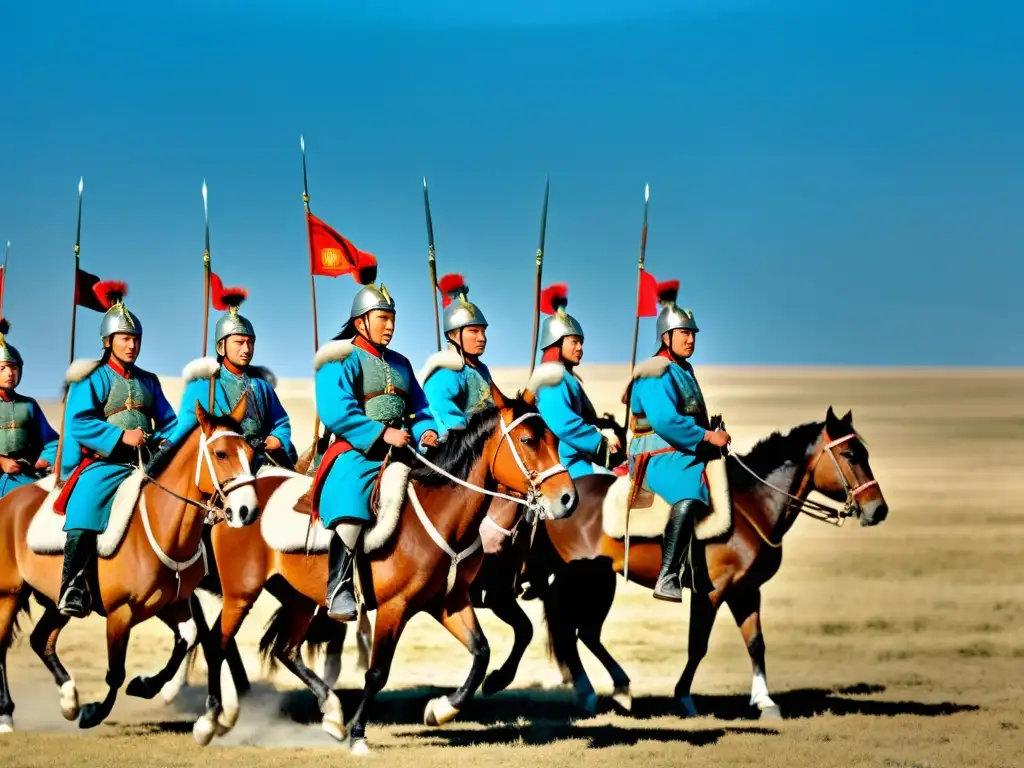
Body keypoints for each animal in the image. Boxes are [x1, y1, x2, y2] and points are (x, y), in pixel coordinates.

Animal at [0, 393, 260, 737]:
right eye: (221, 453)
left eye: (251, 454)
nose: (247, 510)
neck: (162, 529)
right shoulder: (120, 614)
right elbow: (115, 672)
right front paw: (95, 712)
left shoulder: (172, 604)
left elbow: (187, 639)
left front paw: (145, 685)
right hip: (9, 594)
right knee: (2, 646)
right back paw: (7, 715)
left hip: (57, 603)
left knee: (41, 639)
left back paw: (69, 700)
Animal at [151, 385, 577, 753]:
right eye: (528, 441)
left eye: (555, 440)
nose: (567, 499)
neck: (440, 516)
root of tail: (234, 500)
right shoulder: (395, 608)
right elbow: (377, 673)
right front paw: (359, 735)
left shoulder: (448, 602)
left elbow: (481, 651)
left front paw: (442, 709)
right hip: (241, 593)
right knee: (217, 643)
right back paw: (210, 720)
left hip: (302, 599)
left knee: (286, 648)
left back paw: (331, 713)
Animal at [479, 411, 888, 720]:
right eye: (850, 454)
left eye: (864, 452)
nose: (878, 509)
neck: (752, 506)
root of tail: (555, 502)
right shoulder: (713, 592)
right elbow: (698, 645)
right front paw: (685, 698)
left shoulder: (747, 590)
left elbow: (756, 643)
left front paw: (765, 701)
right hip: (579, 582)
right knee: (570, 630)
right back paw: (591, 690)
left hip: (598, 581)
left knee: (584, 633)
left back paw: (617, 689)